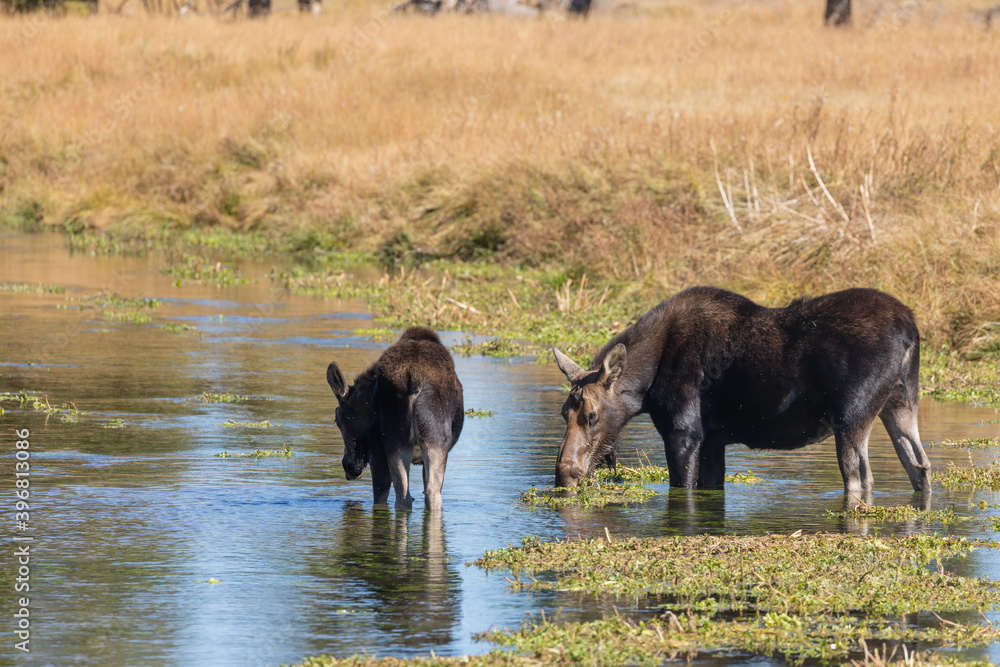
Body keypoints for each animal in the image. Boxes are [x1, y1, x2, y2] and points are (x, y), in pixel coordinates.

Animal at [326, 327, 464, 509]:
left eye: (337, 419)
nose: (349, 468)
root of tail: (416, 377)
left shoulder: (376, 451)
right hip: (431, 443)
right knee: (428, 494)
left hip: (394, 444)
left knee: (403, 496)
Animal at [551, 286, 932, 499]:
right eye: (563, 413)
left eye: (592, 415)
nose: (564, 475)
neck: (647, 384)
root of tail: (910, 329)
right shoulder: (713, 440)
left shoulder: (684, 432)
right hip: (901, 401)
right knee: (920, 465)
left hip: (851, 416)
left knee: (861, 478)